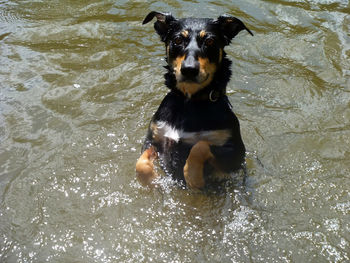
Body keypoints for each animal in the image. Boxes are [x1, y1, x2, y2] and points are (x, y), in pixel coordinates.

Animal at [135, 10, 253, 190]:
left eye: (210, 41)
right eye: (177, 40)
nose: (189, 69)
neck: (189, 103)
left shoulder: (236, 154)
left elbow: (200, 146)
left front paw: (193, 177)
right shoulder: (153, 139)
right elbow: (140, 163)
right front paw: (152, 179)